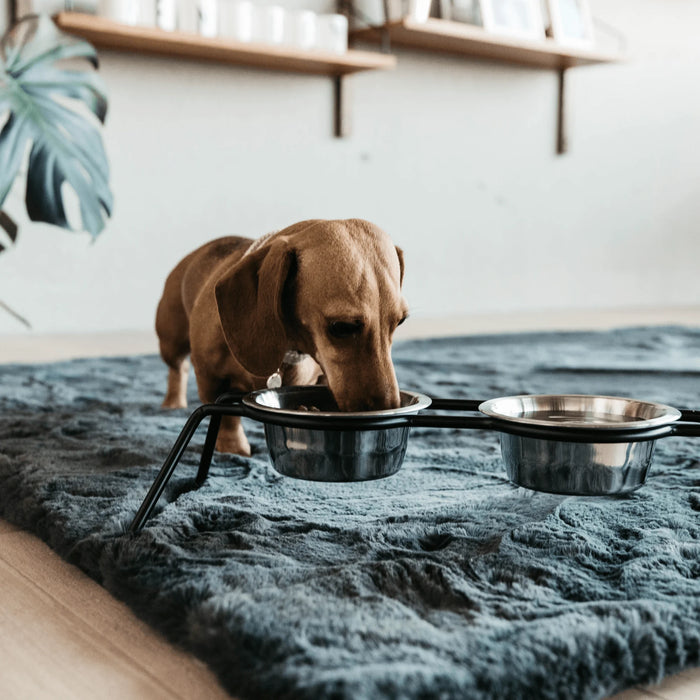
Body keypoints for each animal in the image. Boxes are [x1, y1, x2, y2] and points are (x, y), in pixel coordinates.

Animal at [156, 220, 408, 460]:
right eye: (341, 327)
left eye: (401, 322)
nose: (388, 408)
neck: (291, 349)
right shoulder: (211, 377)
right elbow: (227, 419)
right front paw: (232, 447)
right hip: (171, 343)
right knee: (178, 368)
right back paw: (173, 402)